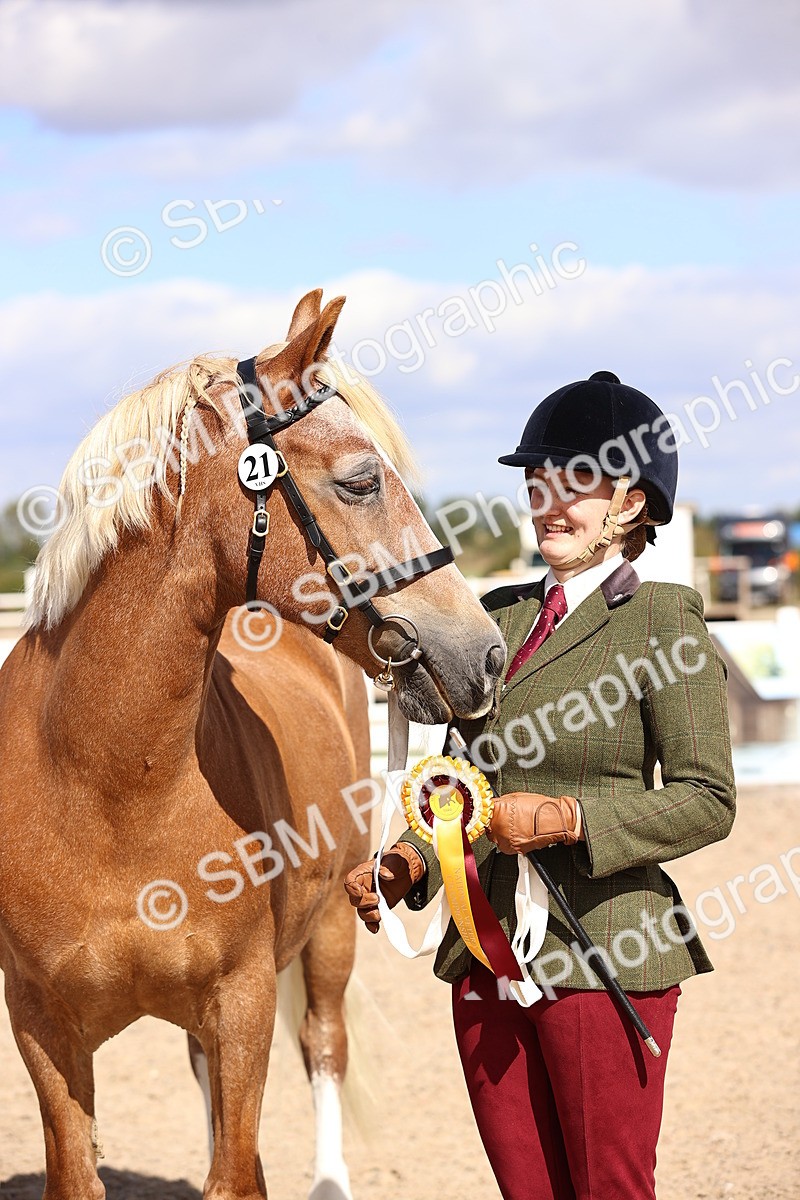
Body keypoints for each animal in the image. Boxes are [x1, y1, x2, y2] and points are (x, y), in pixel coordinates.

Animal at [0, 288, 504, 1200]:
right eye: (361, 479)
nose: (482, 652)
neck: (105, 783)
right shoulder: (40, 1026)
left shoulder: (243, 1003)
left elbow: (234, 1172)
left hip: (335, 927)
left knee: (325, 1046)